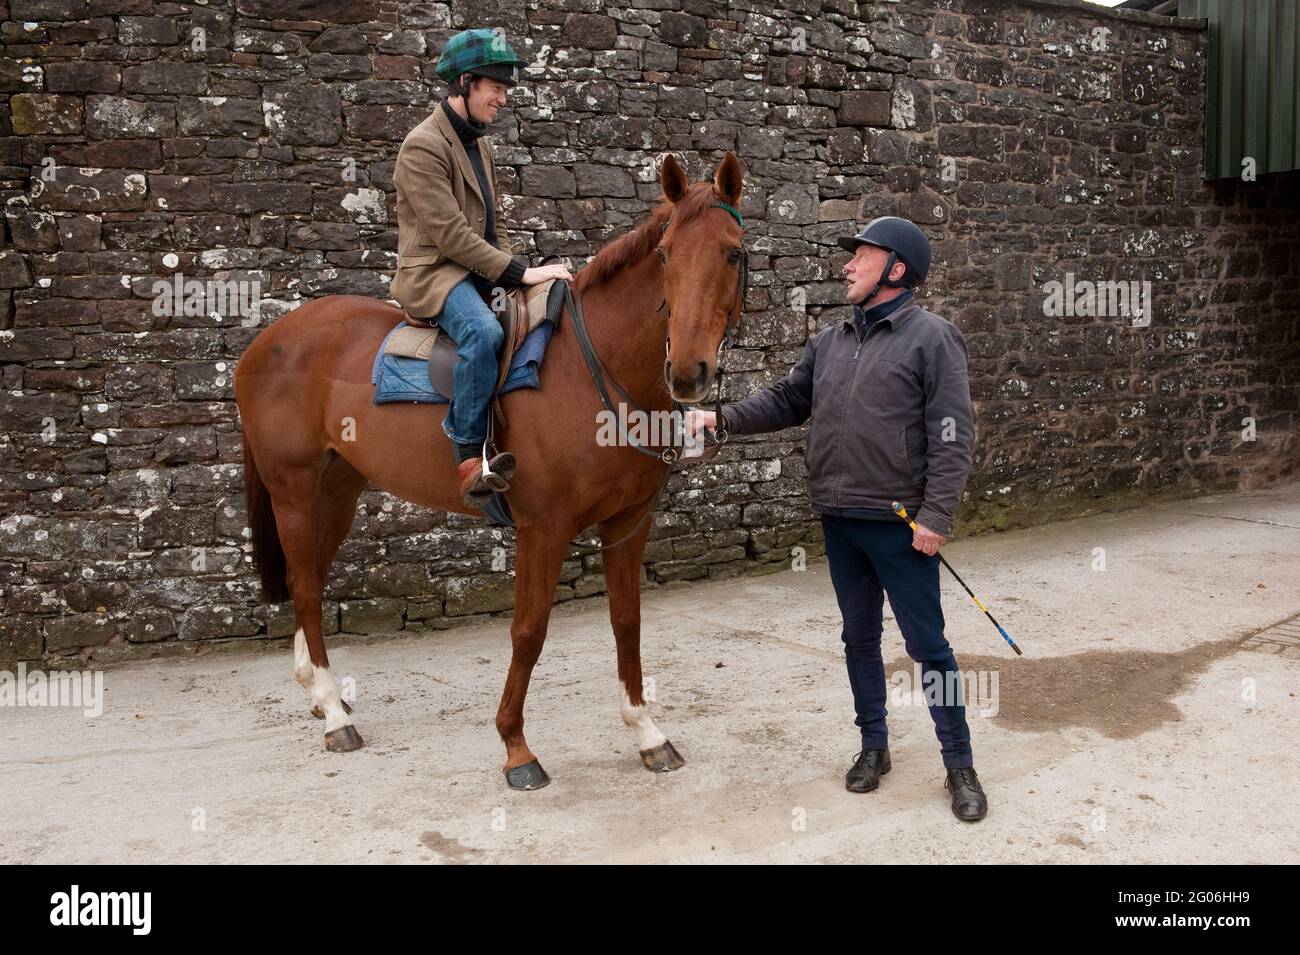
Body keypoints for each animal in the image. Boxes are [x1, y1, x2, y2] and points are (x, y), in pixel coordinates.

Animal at [230, 153, 748, 789]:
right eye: (666, 254)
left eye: (733, 254)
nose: (688, 372)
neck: (593, 364)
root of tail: (266, 341)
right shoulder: (543, 529)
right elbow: (528, 632)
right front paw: (516, 747)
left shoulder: (629, 522)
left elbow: (627, 620)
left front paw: (647, 731)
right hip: (296, 492)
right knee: (304, 586)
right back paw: (333, 713)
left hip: (337, 492)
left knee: (313, 578)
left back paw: (318, 691)